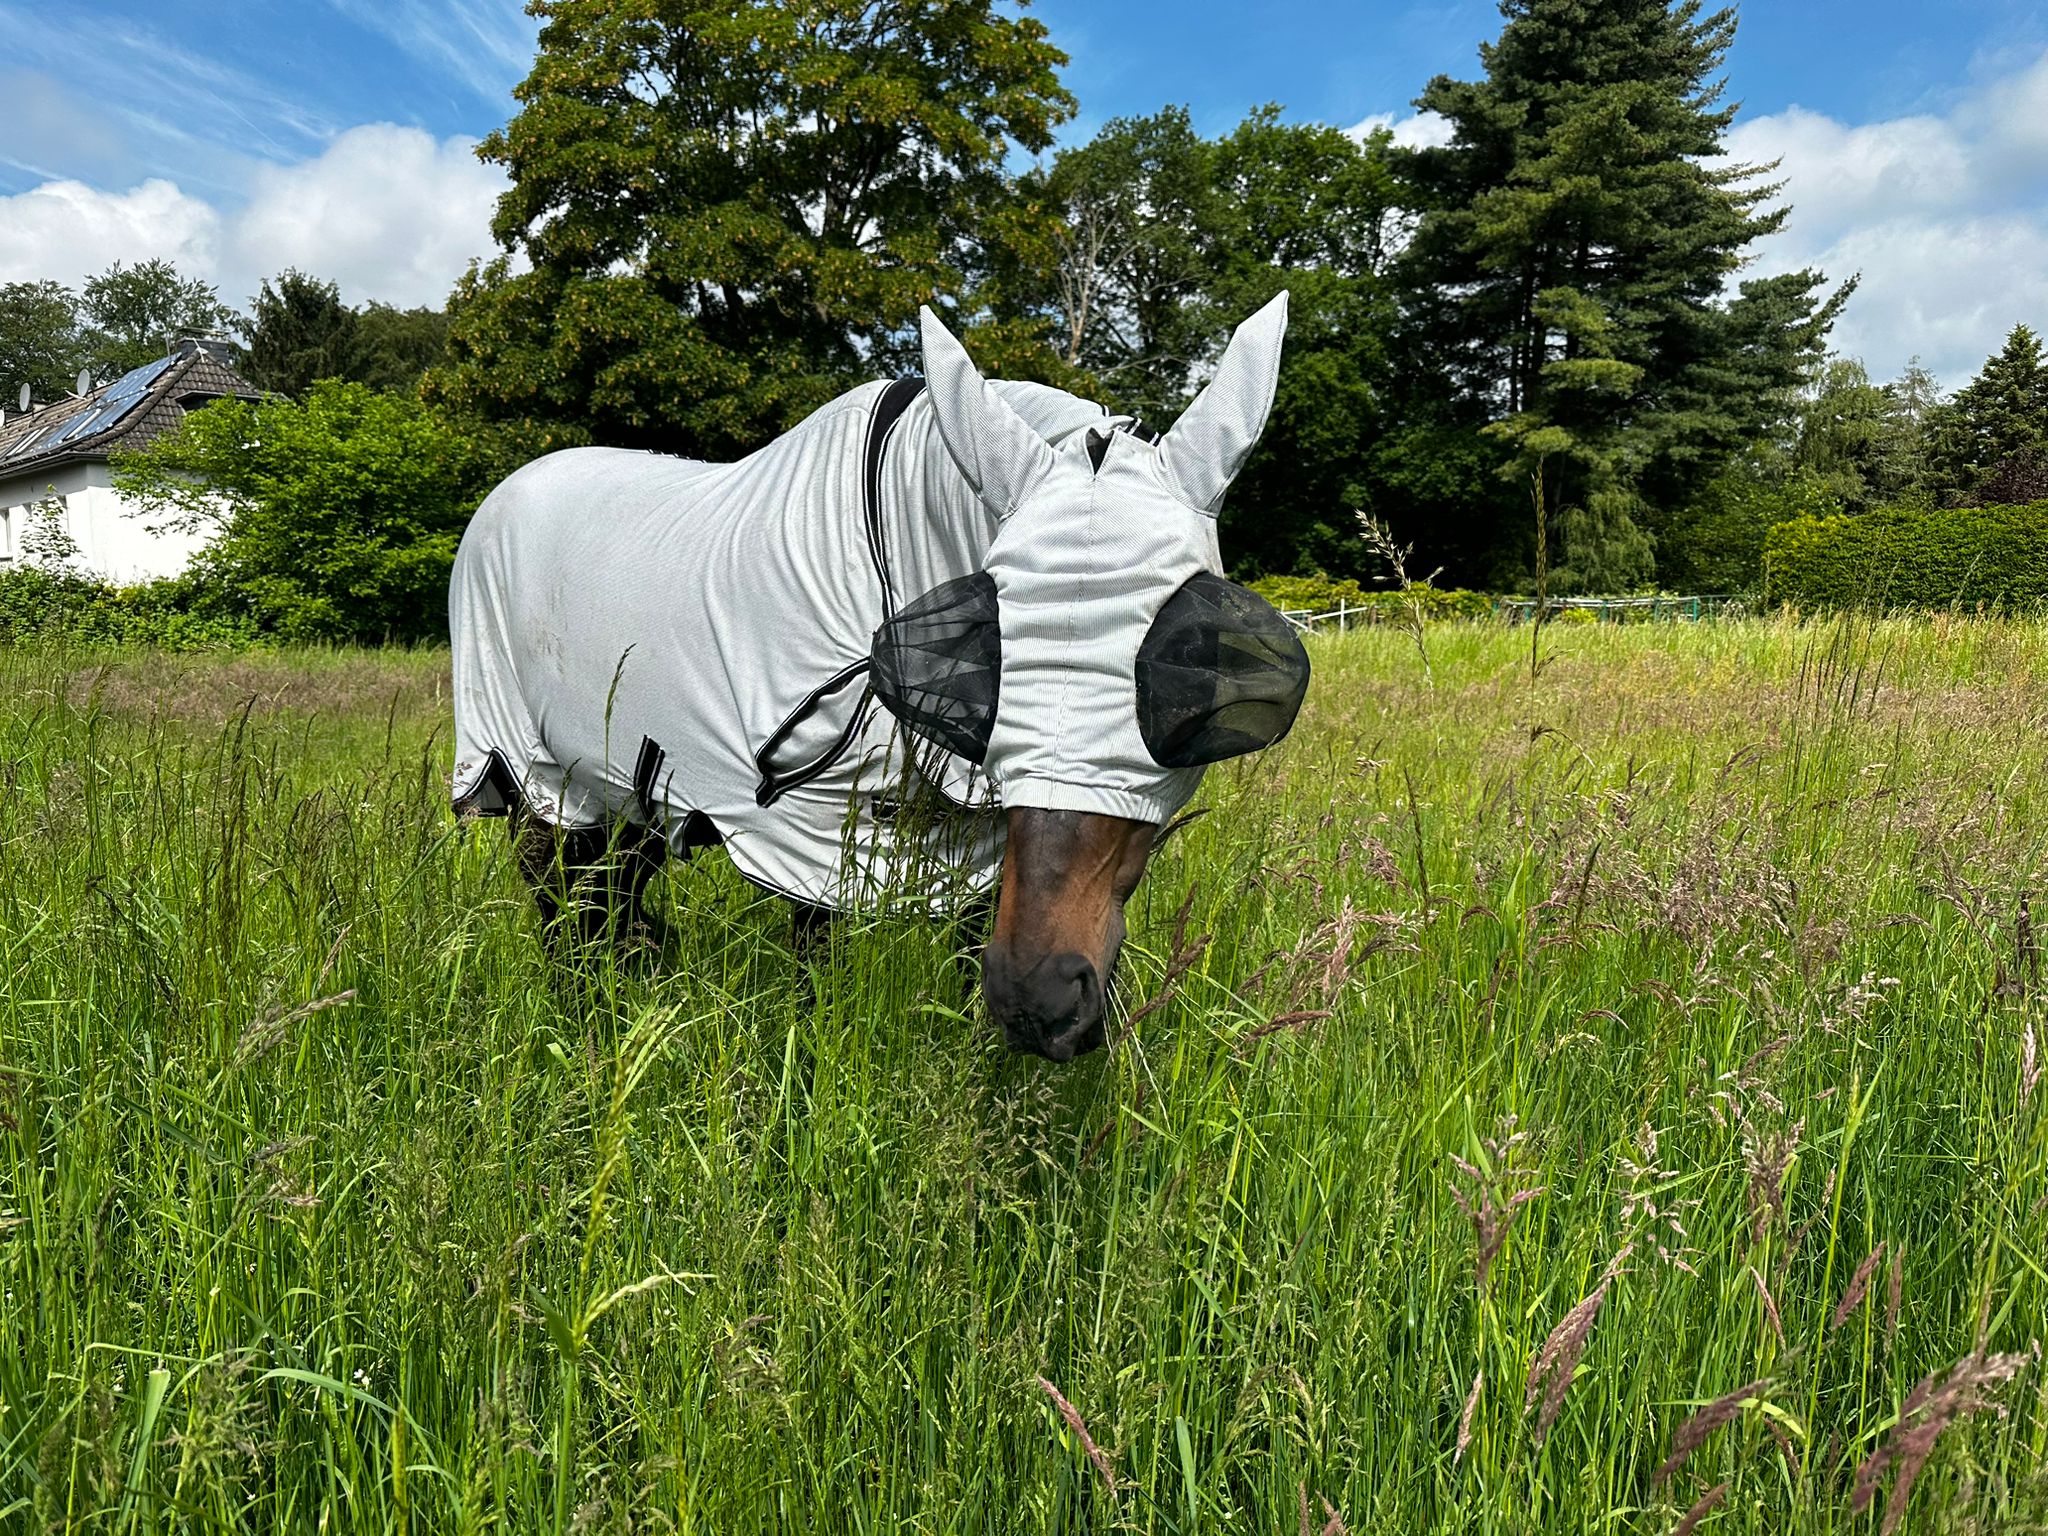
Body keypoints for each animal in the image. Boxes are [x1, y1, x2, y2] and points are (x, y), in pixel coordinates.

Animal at [448, 295, 1310, 1061]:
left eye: (1191, 660)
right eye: (994, 648)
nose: (1040, 1001)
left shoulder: (980, 849)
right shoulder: (809, 846)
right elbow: (815, 992)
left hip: (630, 791)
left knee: (611, 905)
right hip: (534, 777)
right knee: (562, 910)